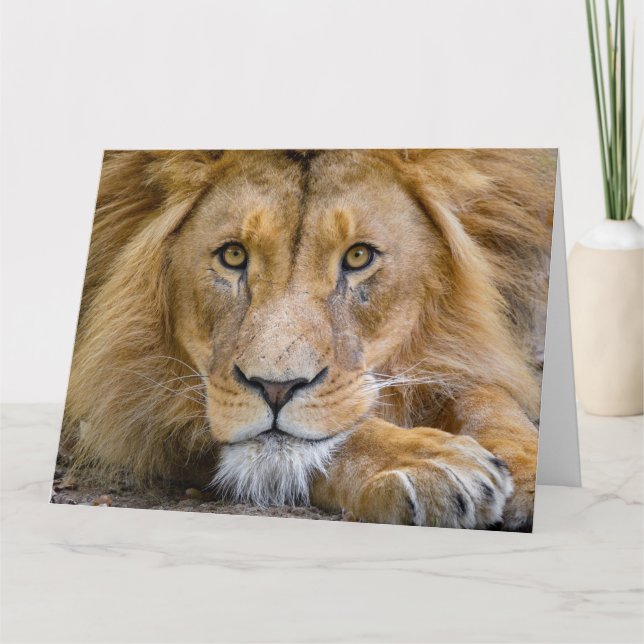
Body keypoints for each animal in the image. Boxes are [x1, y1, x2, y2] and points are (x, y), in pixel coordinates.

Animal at [61, 149, 556, 531]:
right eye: (233, 255)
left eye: (358, 257)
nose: (275, 388)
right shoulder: (130, 392)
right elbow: (338, 436)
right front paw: (426, 461)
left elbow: (487, 399)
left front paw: (531, 471)